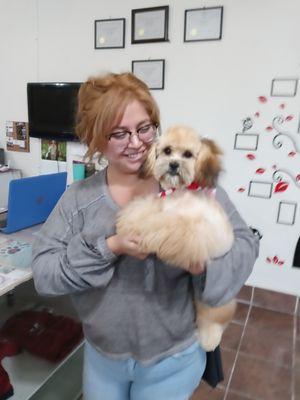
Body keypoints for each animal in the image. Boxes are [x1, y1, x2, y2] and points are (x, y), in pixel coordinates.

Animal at [117, 125, 237, 350]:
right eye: (167, 151)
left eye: (188, 154)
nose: (173, 164)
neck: (180, 194)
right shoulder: (160, 205)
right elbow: (144, 209)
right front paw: (129, 219)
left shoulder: (191, 230)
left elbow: (164, 227)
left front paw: (145, 231)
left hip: (215, 302)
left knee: (214, 320)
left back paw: (209, 338)